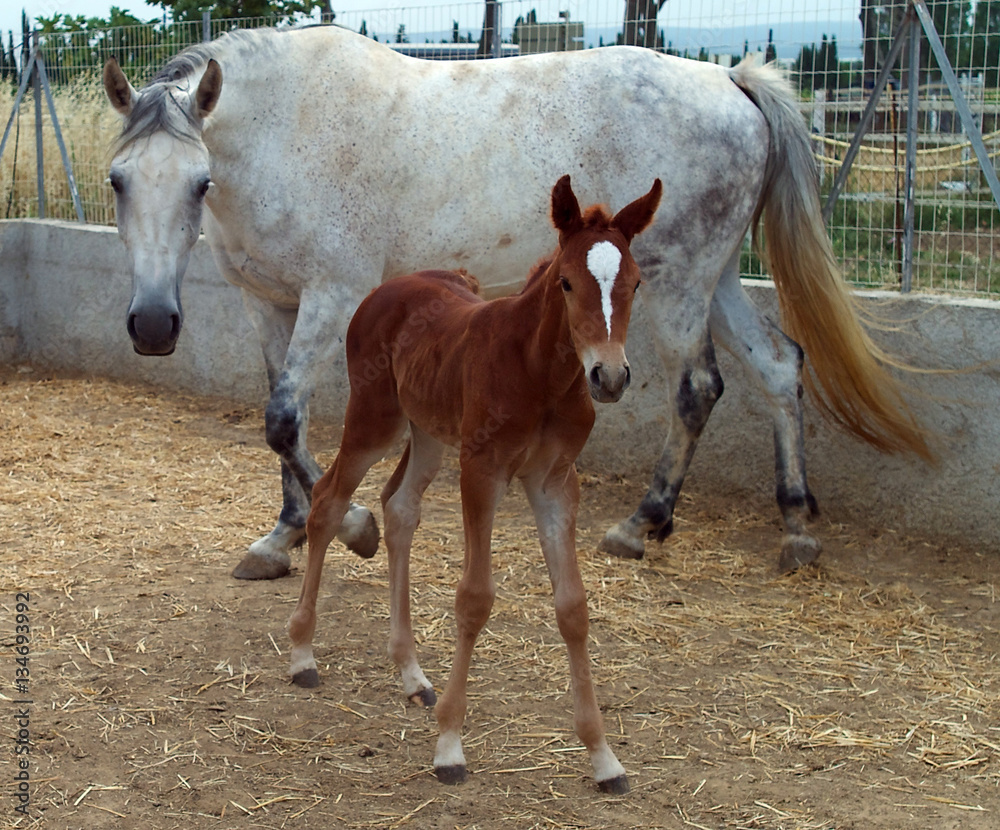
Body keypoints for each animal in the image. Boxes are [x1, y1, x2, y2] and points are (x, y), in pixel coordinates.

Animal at [102, 25, 930, 577]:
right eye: (118, 180)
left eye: (199, 182)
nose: (152, 325)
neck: (290, 125)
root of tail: (731, 82)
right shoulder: (267, 305)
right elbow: (282, 422)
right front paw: (283, 534)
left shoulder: (332, 297)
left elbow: (283, 420)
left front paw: (356, 526)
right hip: (716, 278)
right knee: (781, 368)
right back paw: (794, 524)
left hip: (680, 283)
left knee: (700, 387)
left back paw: (643, 523)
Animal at [289, 175, 661, 793]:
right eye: (566, 282)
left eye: (635, 282)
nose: (609, 377)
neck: (540, 373)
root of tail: (390, 285)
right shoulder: (482, 470)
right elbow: (475, 599)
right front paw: (449, 747)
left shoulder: (555, 481)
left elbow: (573, 607)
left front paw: (604, 757)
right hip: (375, 419)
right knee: (328, 500)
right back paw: (302, 654)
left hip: (429, 431)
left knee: (400, 507)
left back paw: (412, 675)